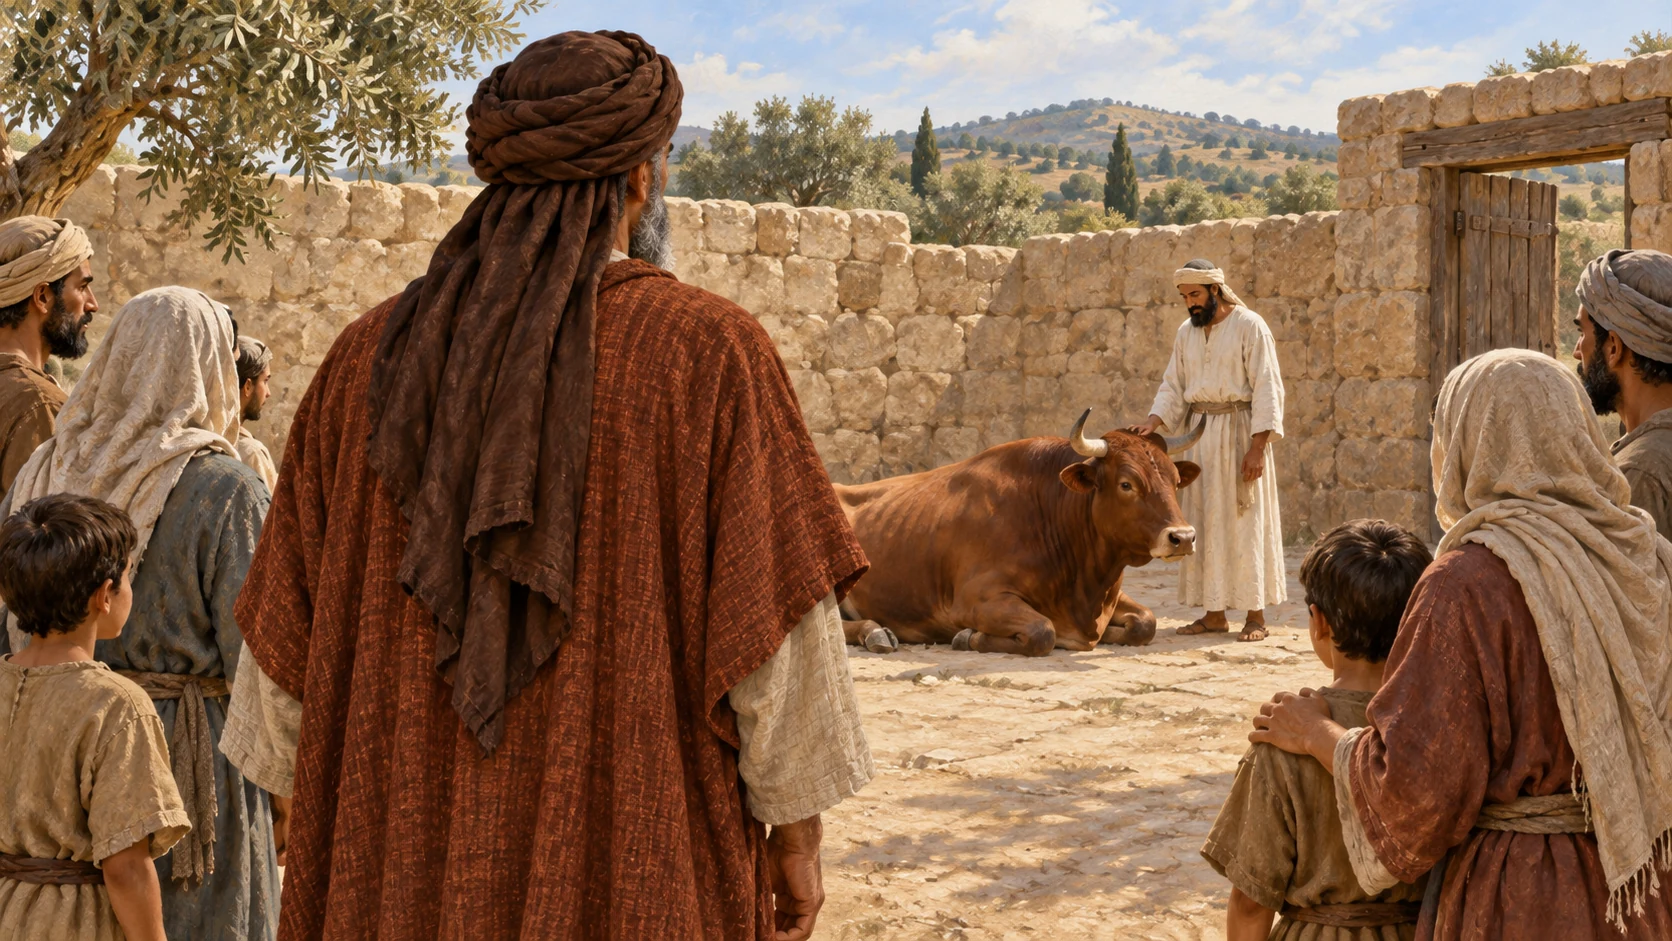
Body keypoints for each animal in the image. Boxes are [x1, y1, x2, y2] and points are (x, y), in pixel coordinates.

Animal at [836, 409, 1203, 656]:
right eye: (1126, 484)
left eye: (1175, 480)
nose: (1183, 537)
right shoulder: (973, 600)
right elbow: (1043, 632)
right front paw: (968, 637)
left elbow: (1146, 622)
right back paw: (875, 632)